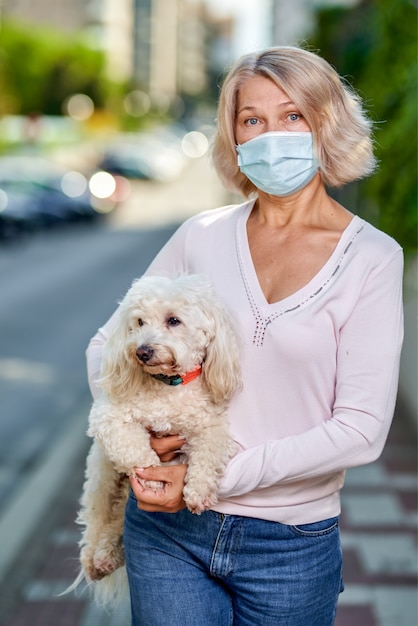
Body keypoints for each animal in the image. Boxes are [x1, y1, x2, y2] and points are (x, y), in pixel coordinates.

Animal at [72, 272, 242, 600]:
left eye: (173, 320)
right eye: (139, 322)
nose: (142, 351)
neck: (169, 386)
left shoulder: (211, 427)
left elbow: (208, 455)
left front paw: (198, 492)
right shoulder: (109, 418)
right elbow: (137, 451)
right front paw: (152, 479)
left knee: (115, 521)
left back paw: (107, 554)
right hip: (103, 479)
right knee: (98, 518)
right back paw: (95, 559)